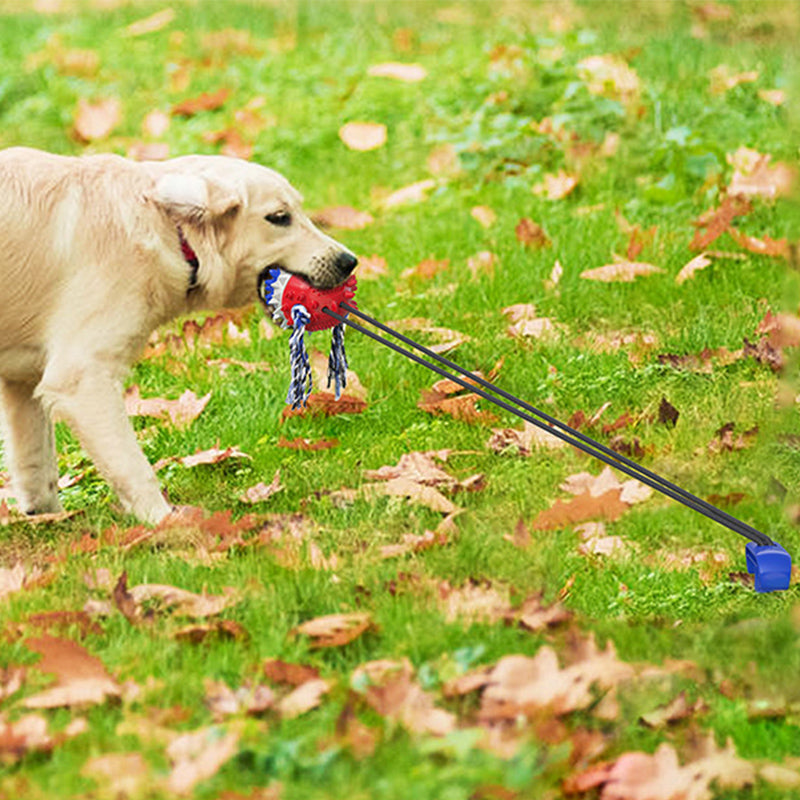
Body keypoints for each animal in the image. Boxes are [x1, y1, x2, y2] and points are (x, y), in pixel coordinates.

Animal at [0, 146, 356, 524]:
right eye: (279, 217)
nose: (350, 261)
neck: (171, 229)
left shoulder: (22, 380)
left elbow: (36, 465)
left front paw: (44, 517)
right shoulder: (83, 377)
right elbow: (133, 467)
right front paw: (166, 523)